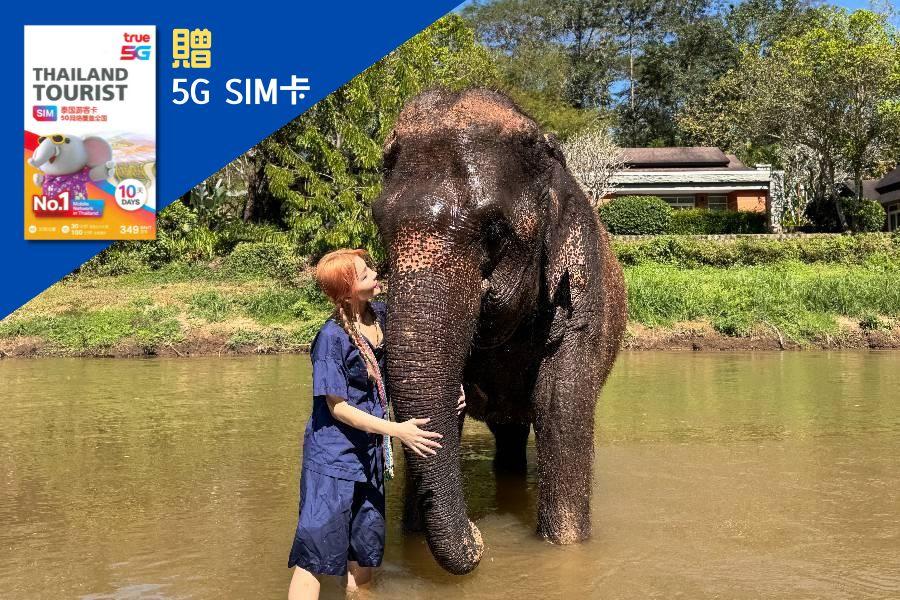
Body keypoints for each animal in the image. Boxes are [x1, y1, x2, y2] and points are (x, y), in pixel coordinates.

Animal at [370, 86, 624, 576]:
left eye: (494, 231)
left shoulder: (582, 297)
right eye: (379, 224)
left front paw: (566, 547)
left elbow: (557, 404)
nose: (477, 537)